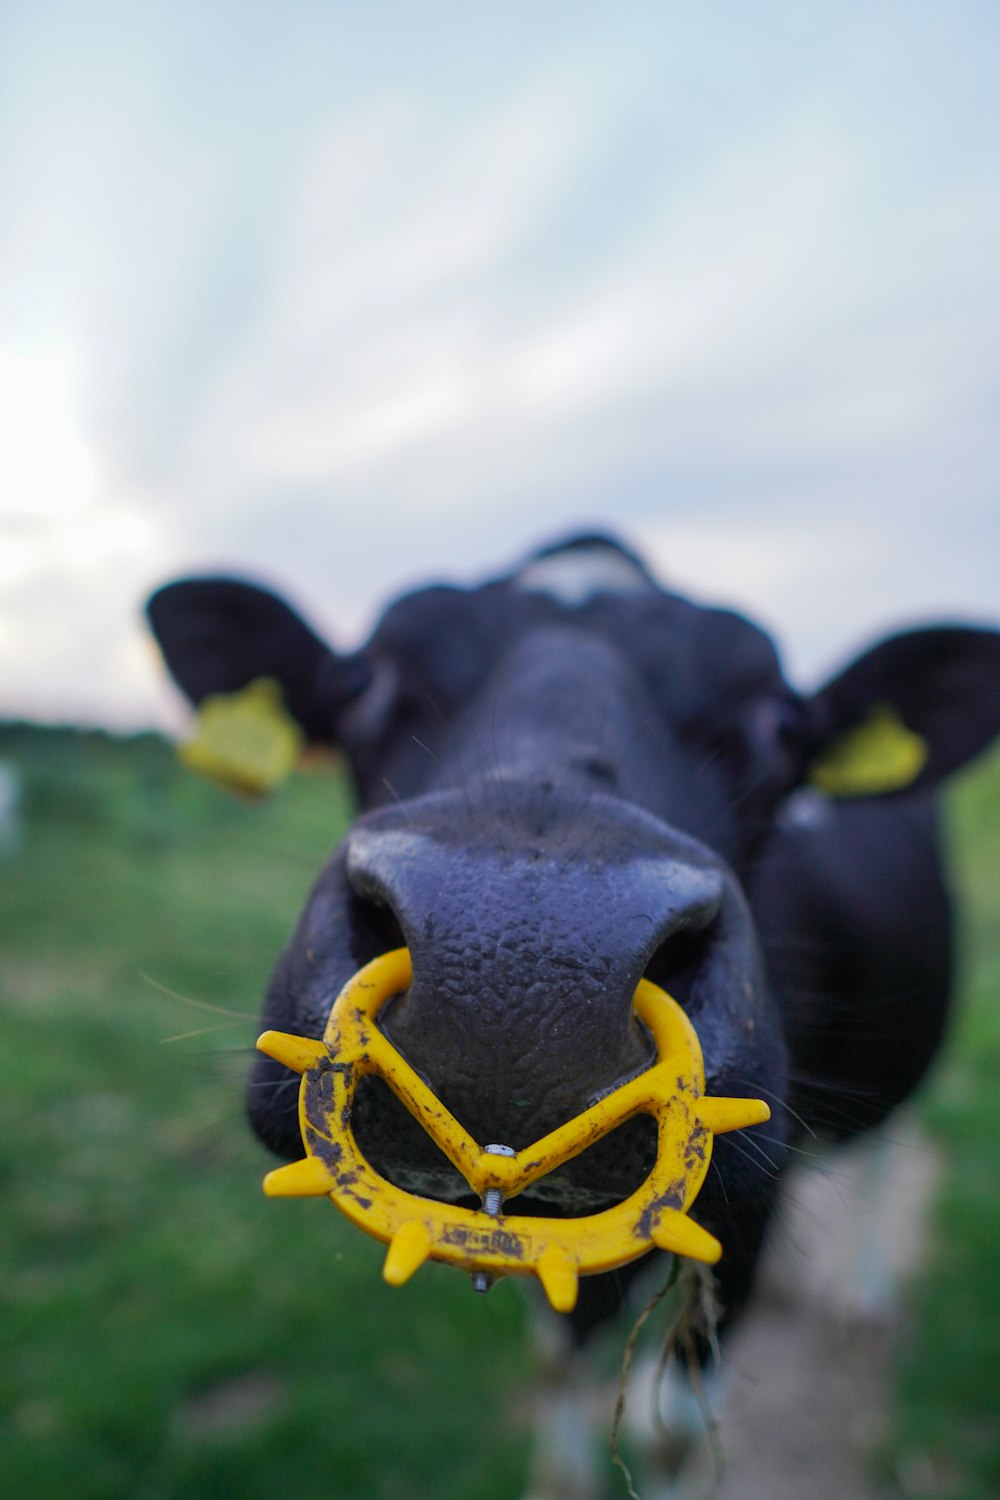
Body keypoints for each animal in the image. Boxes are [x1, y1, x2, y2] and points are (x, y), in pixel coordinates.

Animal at [144, 534, 1000, 1482]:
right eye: (361, 680)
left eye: (781, 724)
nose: (521, 960)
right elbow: (559, 1360)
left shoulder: (746, 1211)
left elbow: (676, 1435)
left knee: (885, 1143)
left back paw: (865, 1294)